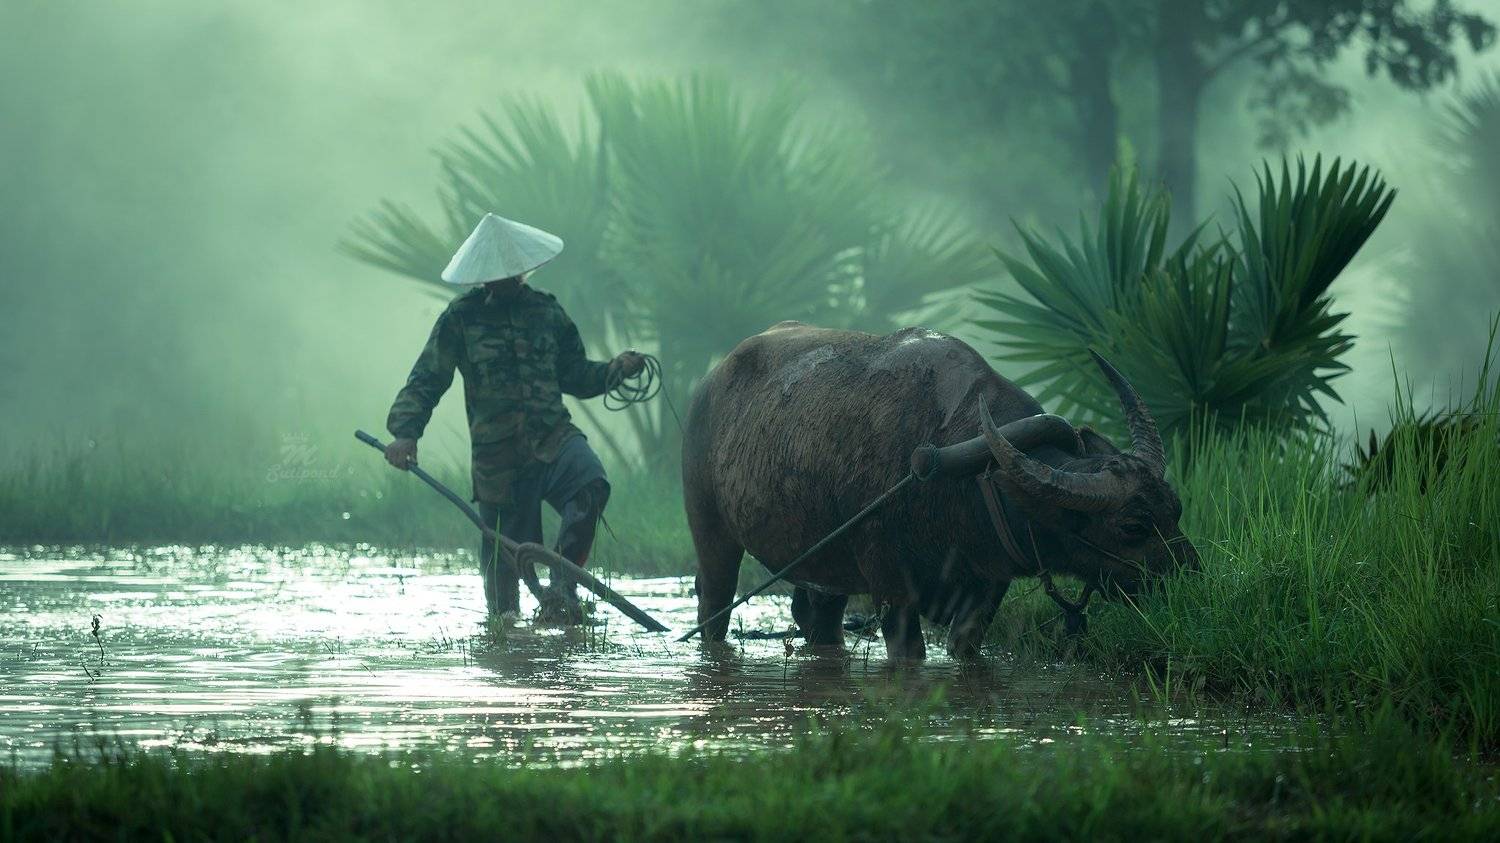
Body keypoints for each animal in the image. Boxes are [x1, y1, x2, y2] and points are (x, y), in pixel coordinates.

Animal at [681, 321, 1198, 658]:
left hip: (825, 570)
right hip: (712, 534)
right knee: (714, 606)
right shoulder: (893, 590)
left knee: (820, 621)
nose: (1190, 579)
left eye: (1175, 508)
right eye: (1133, 525)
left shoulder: (986, 590)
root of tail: (708, 385)